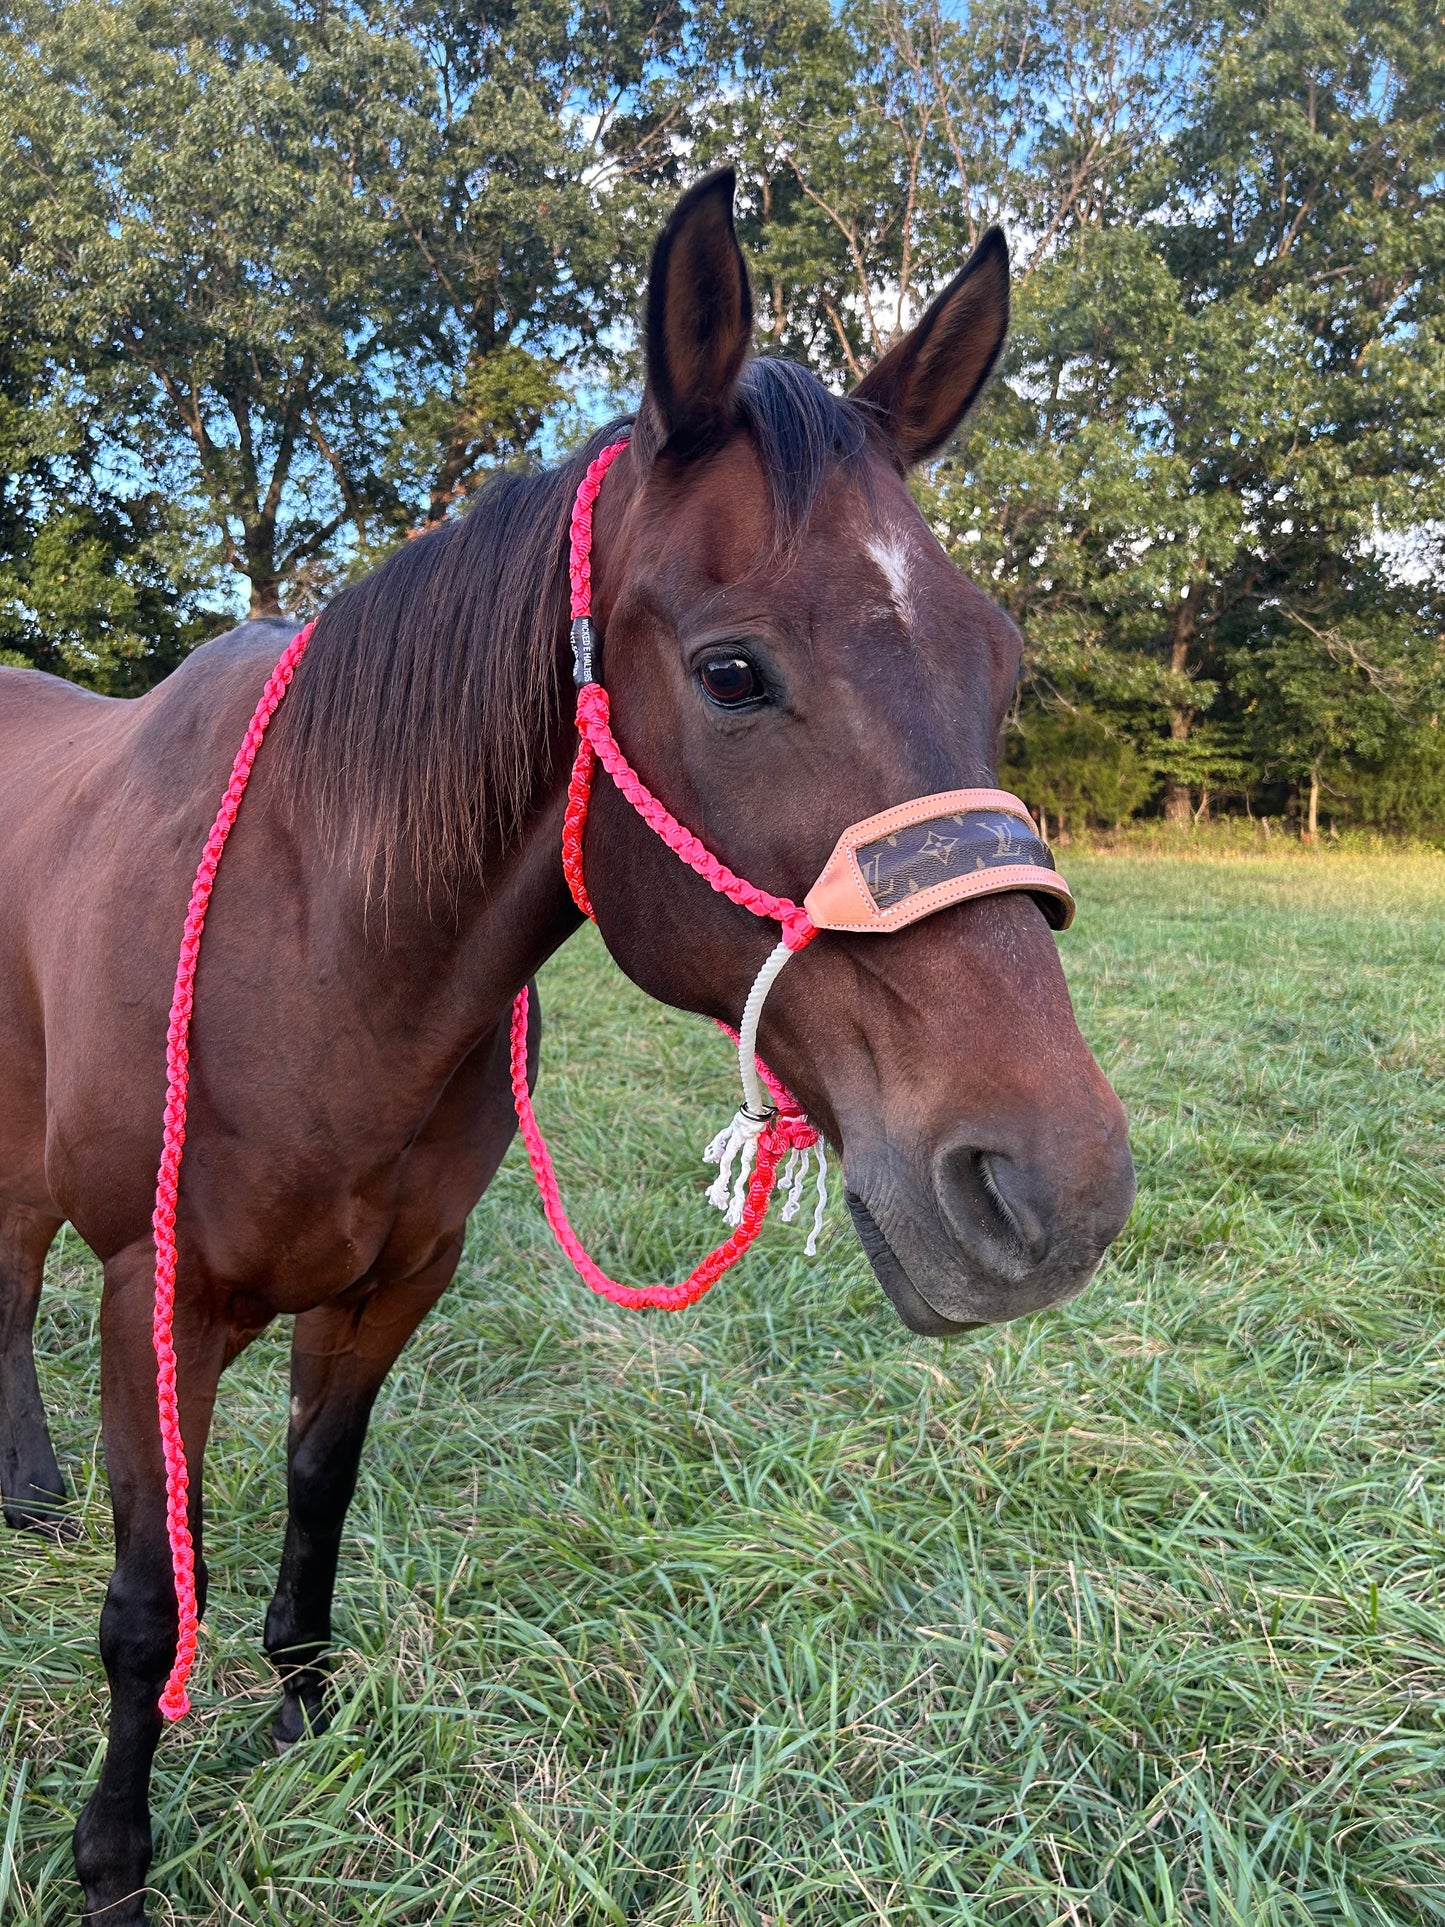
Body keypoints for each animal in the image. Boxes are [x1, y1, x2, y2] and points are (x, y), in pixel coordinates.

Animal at [0, 173, 1132, 1919]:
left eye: (996, 662)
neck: (318, 943)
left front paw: (304, 1706)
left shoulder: (397, 1281)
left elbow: (319, 1494)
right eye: (733, 670)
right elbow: (142, 1600)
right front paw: (114, 1851)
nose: (1051, 1188)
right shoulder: (154, 1297)